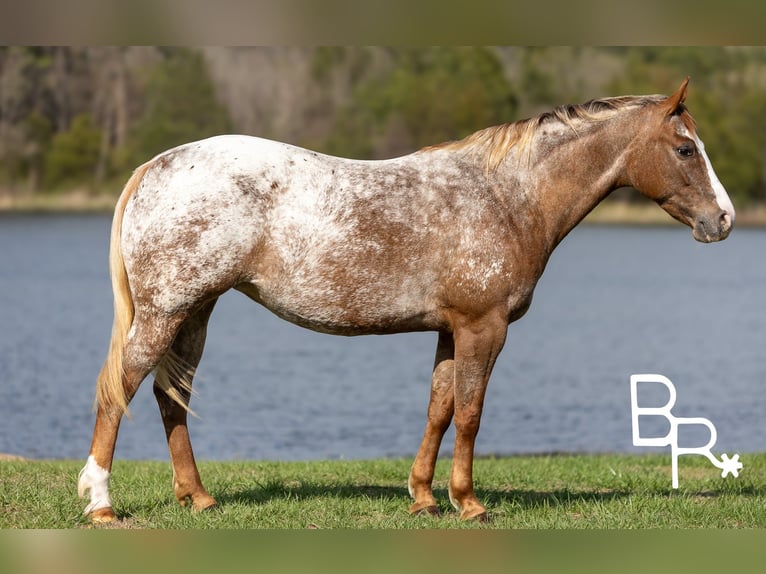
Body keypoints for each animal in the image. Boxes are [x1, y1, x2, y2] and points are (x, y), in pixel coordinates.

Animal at [78, 77, 734, 523]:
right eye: (685, 150)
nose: (724, 219)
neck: (508, 196)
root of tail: (158, 165)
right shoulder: (484, 327)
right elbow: (470, 412)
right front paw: (469, 502)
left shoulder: (451, 329)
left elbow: (439, 408)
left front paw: (423, 497)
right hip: (165, 312)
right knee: (120, 390)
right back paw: (101, 504)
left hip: (195, 312)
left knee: (172, 397)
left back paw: (198, 497)